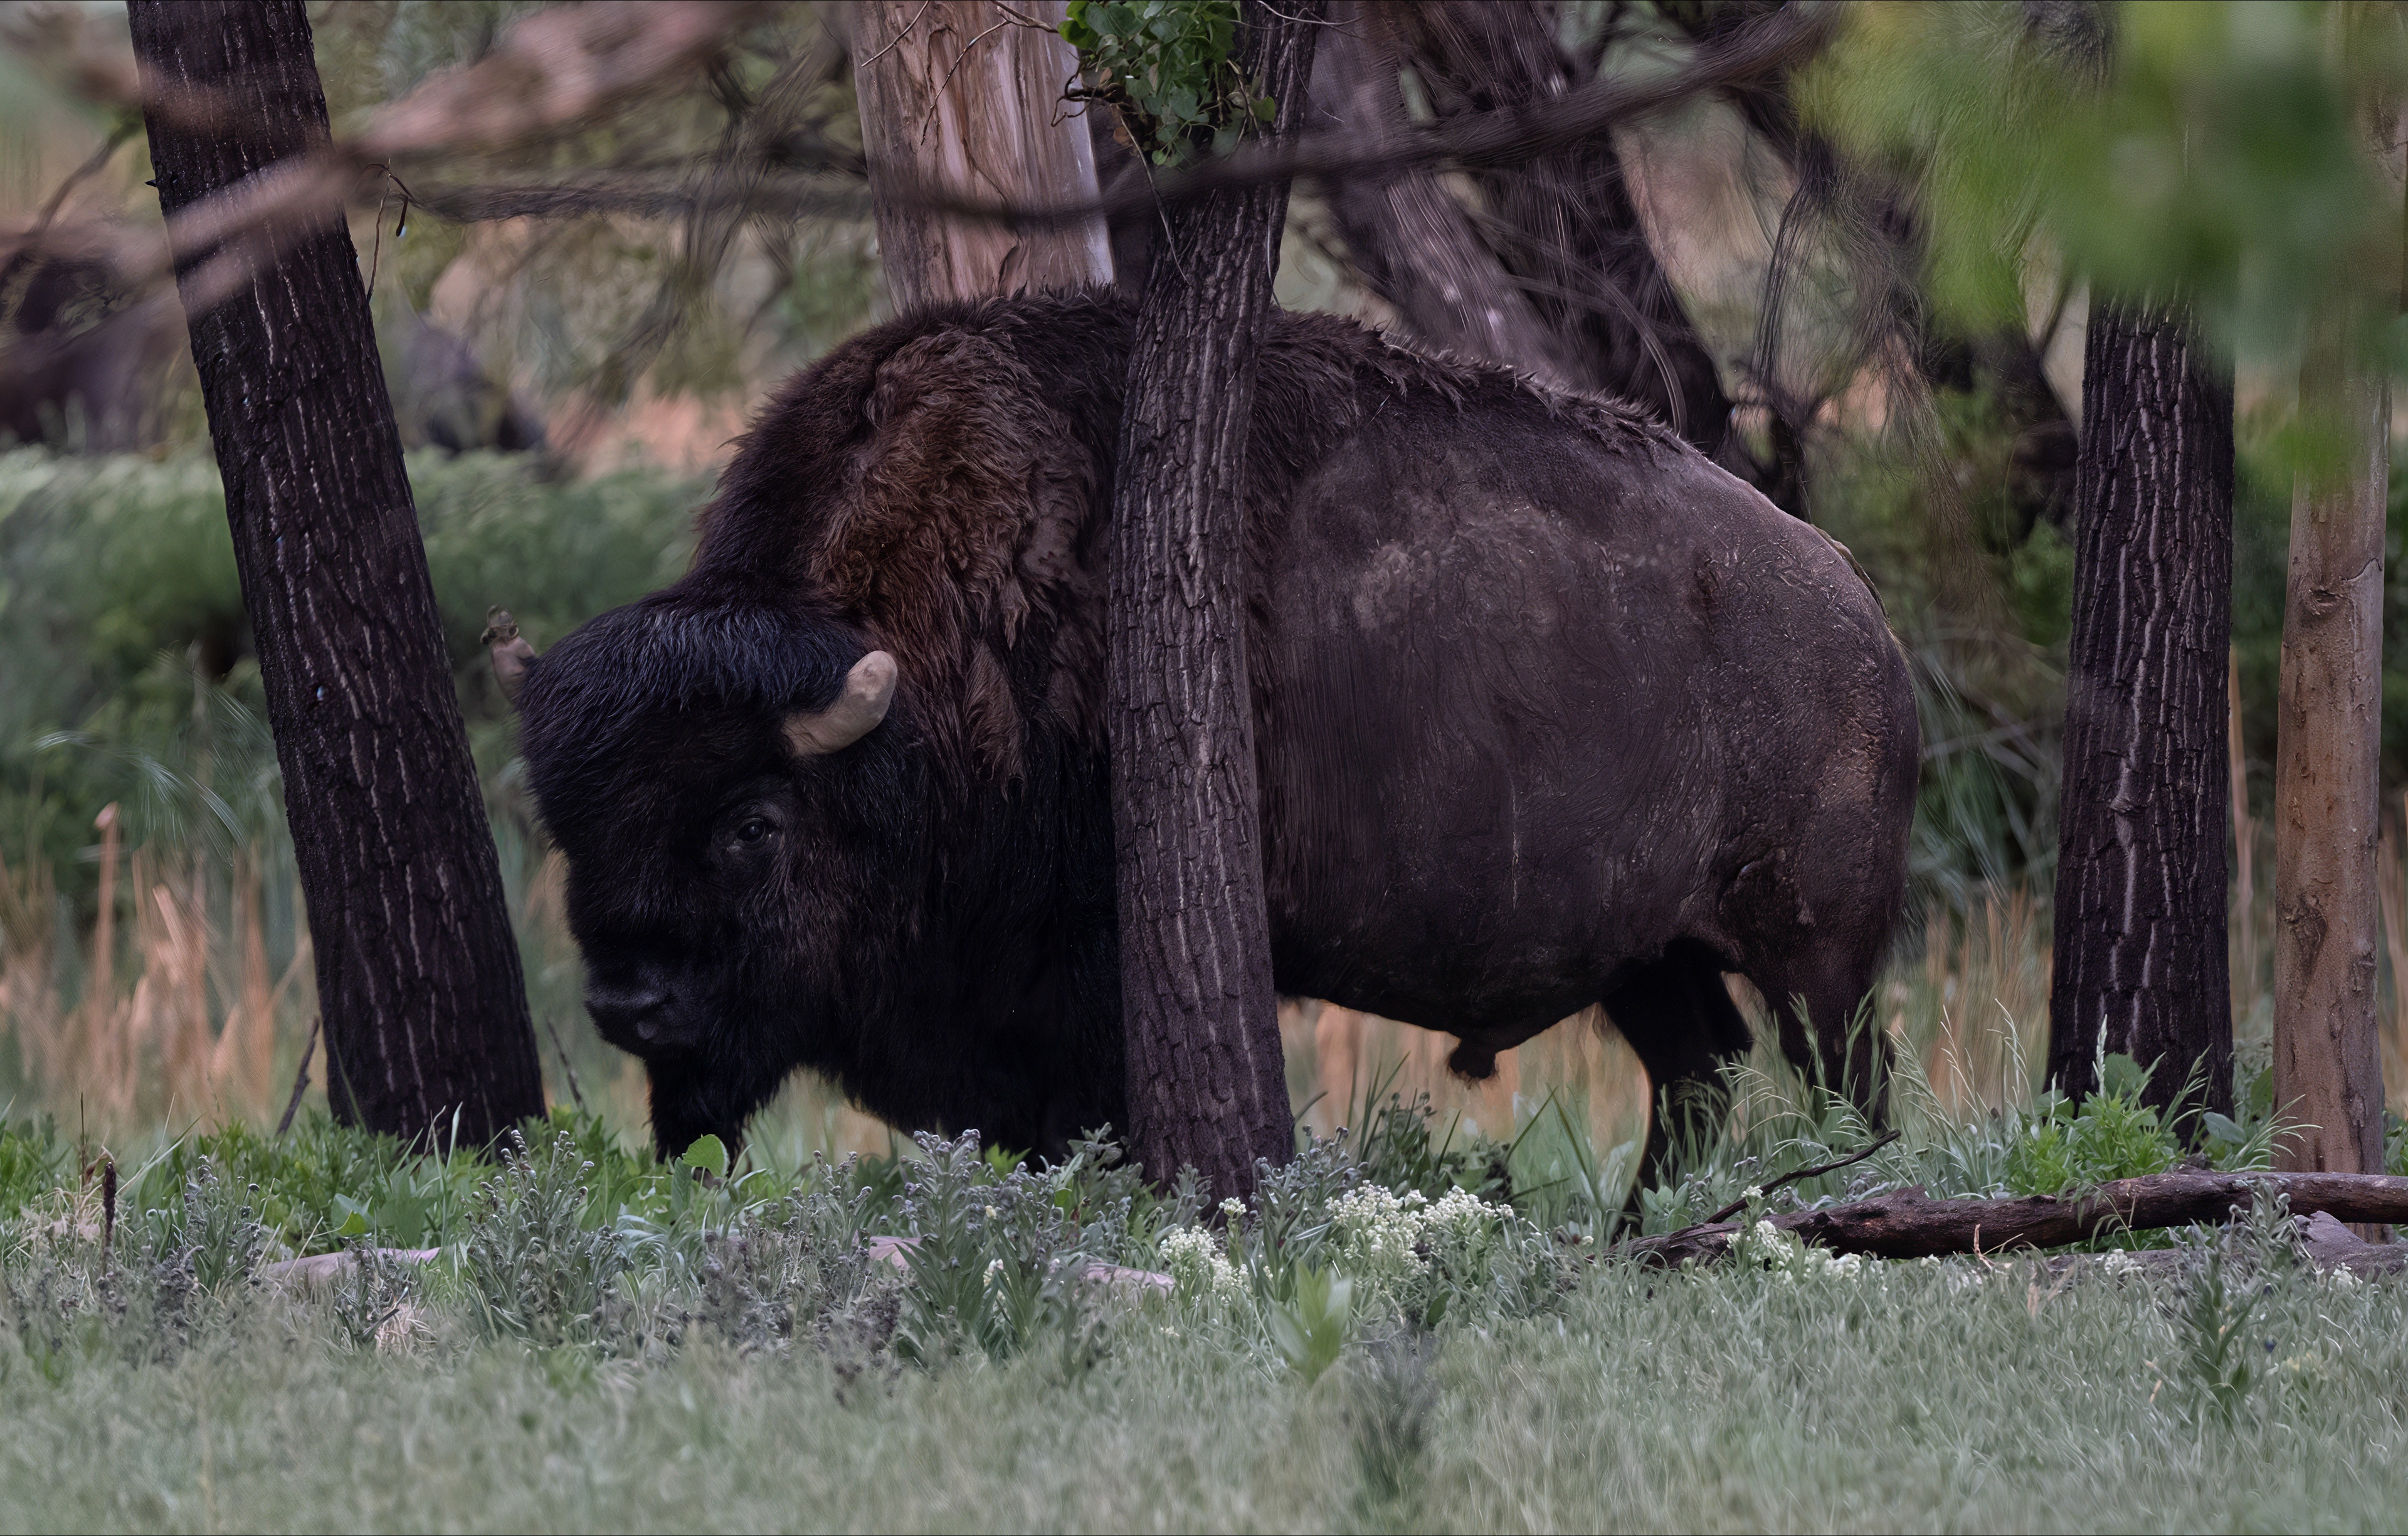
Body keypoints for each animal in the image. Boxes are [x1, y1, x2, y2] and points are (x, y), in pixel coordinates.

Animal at [506, 290, 1917, 1181]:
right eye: (571, 827)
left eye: (751, 822)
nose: (627, 1001)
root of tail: (1858, 606)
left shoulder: (1085, 986)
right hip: (1645, 954)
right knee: (1699, 1073)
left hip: (1818, 955)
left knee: (1843, 1073)